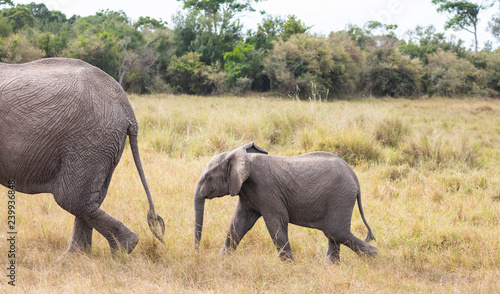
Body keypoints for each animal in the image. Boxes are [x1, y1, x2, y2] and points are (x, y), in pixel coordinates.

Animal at [0, 58, 166, 255]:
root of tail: (127, 109)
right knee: (88, 201)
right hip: (103, 144)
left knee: (72, 199)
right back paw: (77, 257)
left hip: (91, 140)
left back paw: (122, 249)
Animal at [193, 142, 376, 262]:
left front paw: (290, 266)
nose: (197, 254)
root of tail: (354, 177)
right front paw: (222, 260)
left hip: (340, 197)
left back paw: (375, 256)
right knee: (334, 233)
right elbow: (239, 223)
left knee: (336, 232)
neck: (242, 156)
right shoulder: (247, 191)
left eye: (208, 178)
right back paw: (331, 267)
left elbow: (276, 222)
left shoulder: (265, 188)